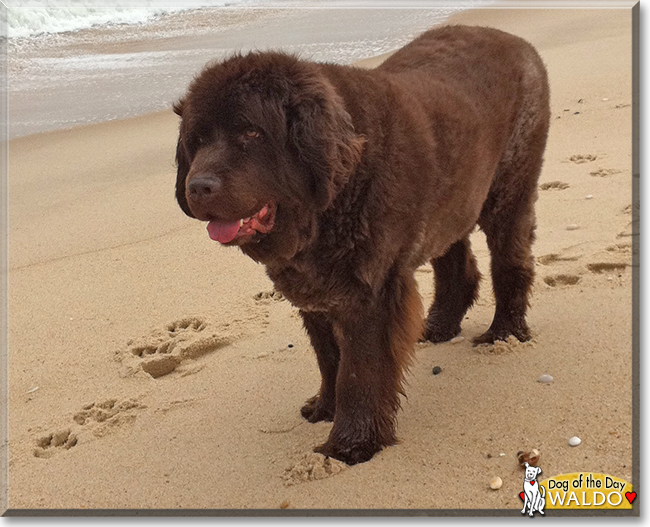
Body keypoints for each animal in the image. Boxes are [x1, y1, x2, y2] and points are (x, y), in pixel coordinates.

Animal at [171, 24, 548, 464]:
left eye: (251, 132)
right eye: (197, 139)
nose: (198, 186)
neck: (330, 201)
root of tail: (513, 39)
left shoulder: (370, 296)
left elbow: (359, 371)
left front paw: (350, 444)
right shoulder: (317, 294)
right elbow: (329, 358)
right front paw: (324, 407)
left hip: (509, 192)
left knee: (510, 260)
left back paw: (504, 332)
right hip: (449, 203)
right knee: (457, 265)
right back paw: (439, 326)